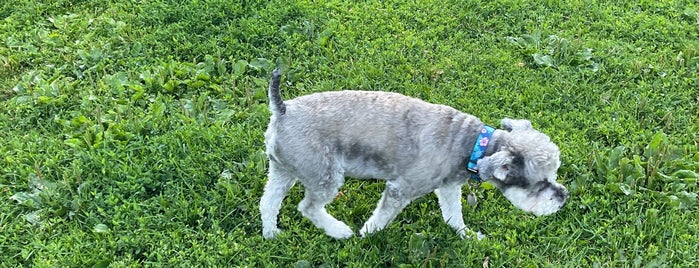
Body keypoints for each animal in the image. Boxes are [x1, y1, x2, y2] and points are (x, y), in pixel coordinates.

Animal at [260, 69, 568, 239]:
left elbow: (453, 215)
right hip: (325, 176)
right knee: (308, 207)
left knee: (268, 202)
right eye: (540, 183)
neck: (471, 145)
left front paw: (467, 236)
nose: (563, 196)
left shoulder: (448, 187)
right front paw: (367, 235)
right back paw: (339, 231)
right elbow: (382, 218)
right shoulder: (401, 189)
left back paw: (271, 233)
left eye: (554, 176)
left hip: (282, 170)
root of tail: (283, 110)